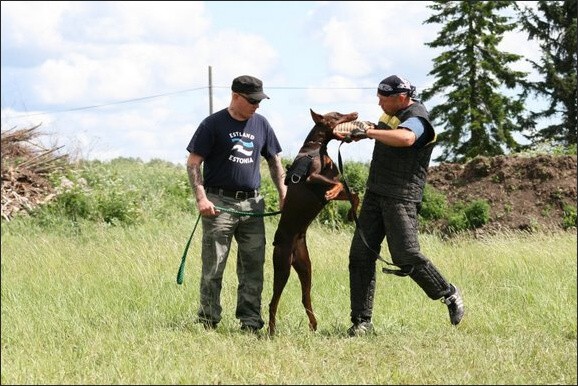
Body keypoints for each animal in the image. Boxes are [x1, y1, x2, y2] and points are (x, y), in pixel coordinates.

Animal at [266, 108, 358, 334]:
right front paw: (333, 191)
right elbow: (337, 183)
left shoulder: (328, 183)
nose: (355, 113)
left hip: (305, 266)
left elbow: (353, 193)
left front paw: (352, 213)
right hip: (282, 266)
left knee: (305, 297)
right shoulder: (313, 177)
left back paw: (313, 325)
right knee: (273, 301)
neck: (318, 147)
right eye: (337, 115)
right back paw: (271, 331)